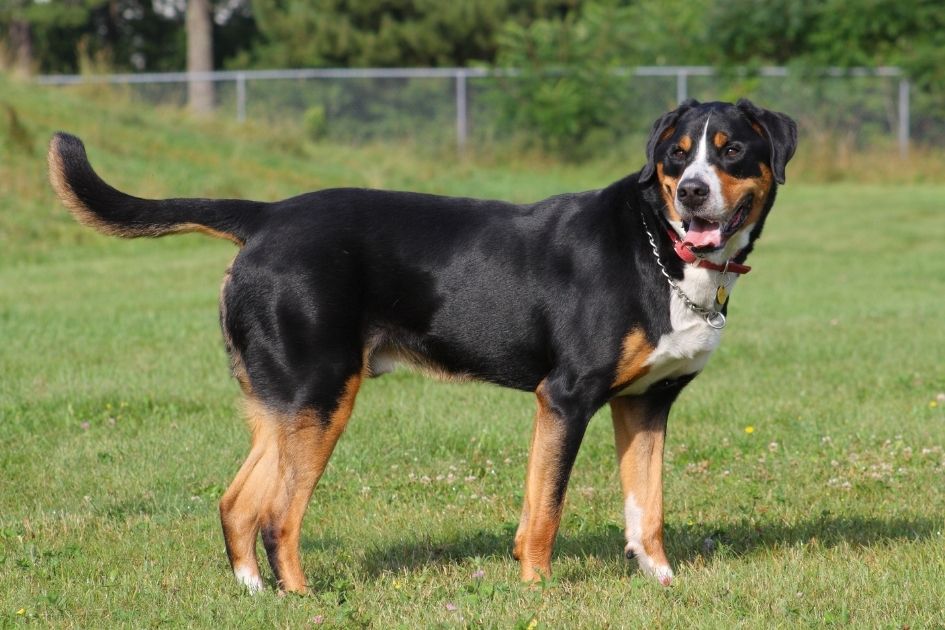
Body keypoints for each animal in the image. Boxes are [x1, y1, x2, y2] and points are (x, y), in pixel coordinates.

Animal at [46, 97, 796, 592]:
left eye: (731, 149)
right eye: (676, 156)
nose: (692, 193)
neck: (661, 252)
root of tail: (267, 215)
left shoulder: (646, 403)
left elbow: (647, 509)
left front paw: (661, 583)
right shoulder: (565, 397)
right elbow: (544, 511)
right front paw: (536, 592)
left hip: (289, 402)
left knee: (238, 504)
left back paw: (255, 593)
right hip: (323, 395)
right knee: (279, 516)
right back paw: (304, 598)